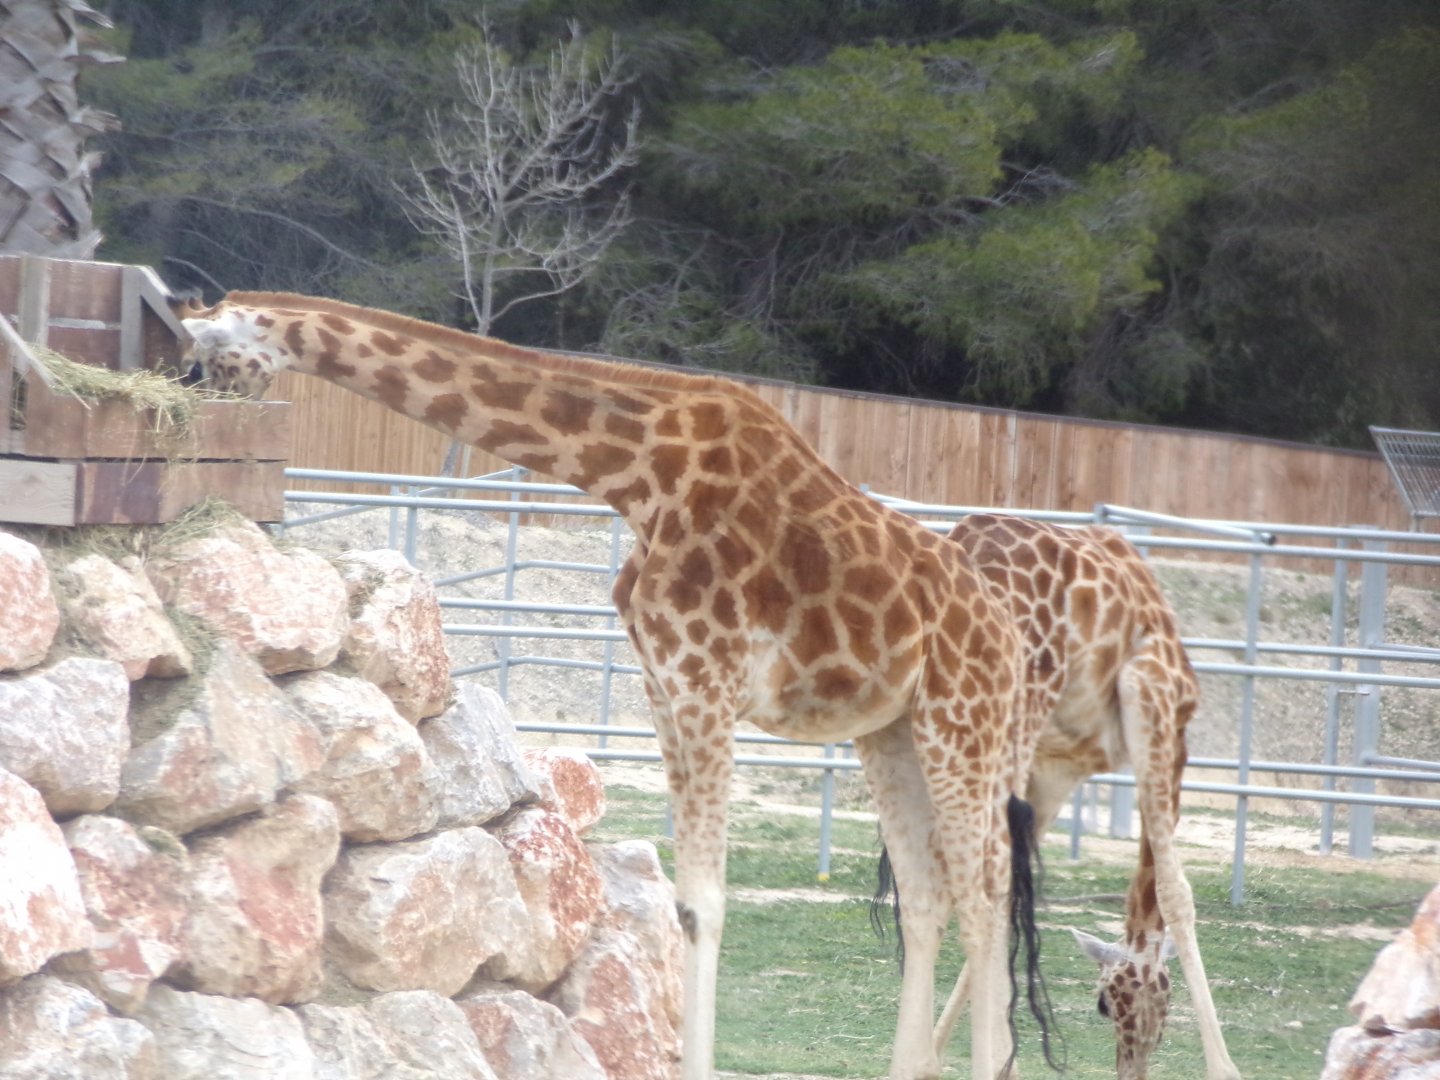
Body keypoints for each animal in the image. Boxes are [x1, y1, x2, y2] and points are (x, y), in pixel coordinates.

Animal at [178, 291, 1057, 1080]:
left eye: (206, 358)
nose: (202, 426)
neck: (636, 473)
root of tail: (1009, 635)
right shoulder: (665, 687)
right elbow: (690, 901)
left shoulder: (705, 681)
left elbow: (705, 903)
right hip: (892, 733)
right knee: (931, 896)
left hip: (961, 722)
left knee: (986, 893)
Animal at [912, 514, 1241, 1079]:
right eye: (1106, 1003)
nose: (1131, 1068)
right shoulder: (1153, 707)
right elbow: (1176, 892)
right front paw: (1225, 1068)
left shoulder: (1055, 768)